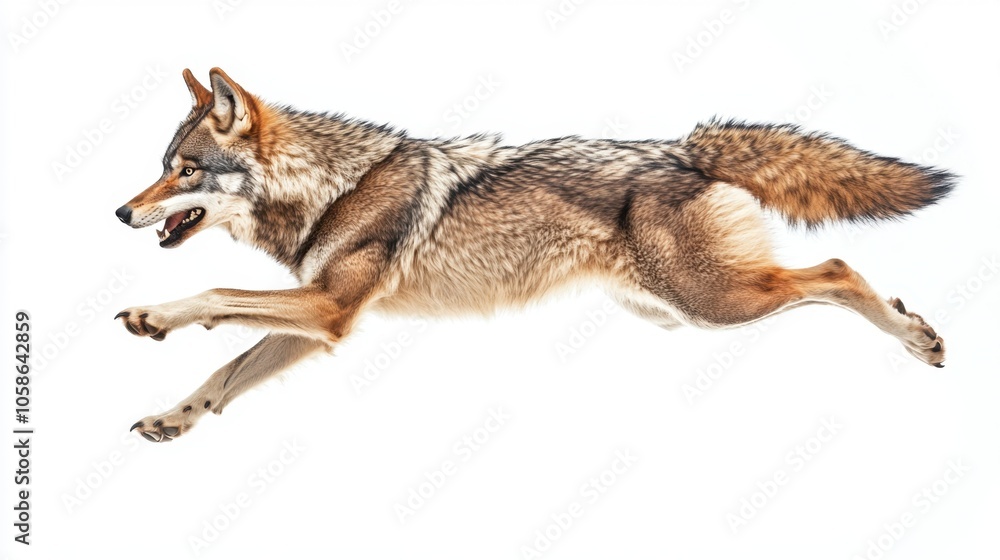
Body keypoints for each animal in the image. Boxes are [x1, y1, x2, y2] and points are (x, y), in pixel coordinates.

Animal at [114, 68, 953, 442]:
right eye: (161, 165)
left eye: (184, 171)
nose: (121, 212)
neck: (329, 186)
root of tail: (685, 147)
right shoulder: (320, 325)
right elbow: (225, 373)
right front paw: (173, 418)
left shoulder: (330, 308)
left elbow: (213, 297)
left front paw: (152, 315)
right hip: (676, 311)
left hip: (711, 303)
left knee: (837, 271)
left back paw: (920, 338)